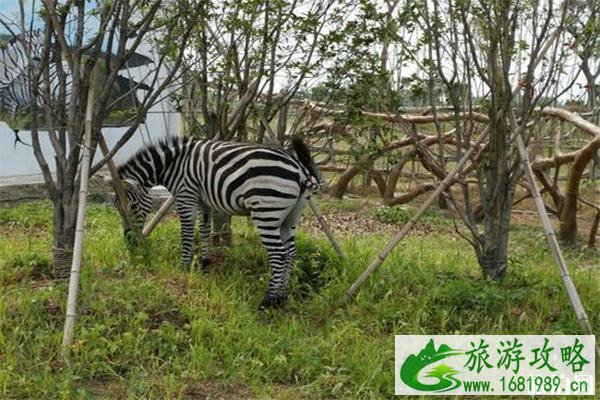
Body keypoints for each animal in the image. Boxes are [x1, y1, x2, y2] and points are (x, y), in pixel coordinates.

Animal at [114, 136, 326, 308]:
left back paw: (268, 300)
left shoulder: (186, 195)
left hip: (266, 212)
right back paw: (282, 296)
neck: (173, 164)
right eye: (118, 209)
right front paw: (204, 263)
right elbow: (205, 230)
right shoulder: (204, 202)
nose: (129, 242)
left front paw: (183, 267)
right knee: (291, 253)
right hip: (289, 218)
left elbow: (187, 234)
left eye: (131, 207)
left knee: (279, 255)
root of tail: (300, 170)